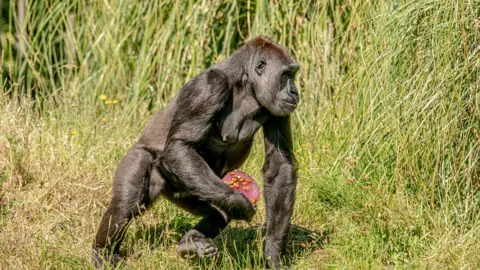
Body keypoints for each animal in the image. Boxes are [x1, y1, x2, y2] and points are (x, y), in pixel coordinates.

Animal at [93, 35, 300, 268]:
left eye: (292, 74)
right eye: (286, 75)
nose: (294, 92)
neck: (246, 84)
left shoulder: (277, 107)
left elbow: (279, 166)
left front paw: (273, 250)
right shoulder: (209, 86)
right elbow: (180, 146)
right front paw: (240, 203)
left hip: (194, 189)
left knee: (218, 209)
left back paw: (191, 243)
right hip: (143, 159)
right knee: (127, 201)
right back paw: (102, 252)